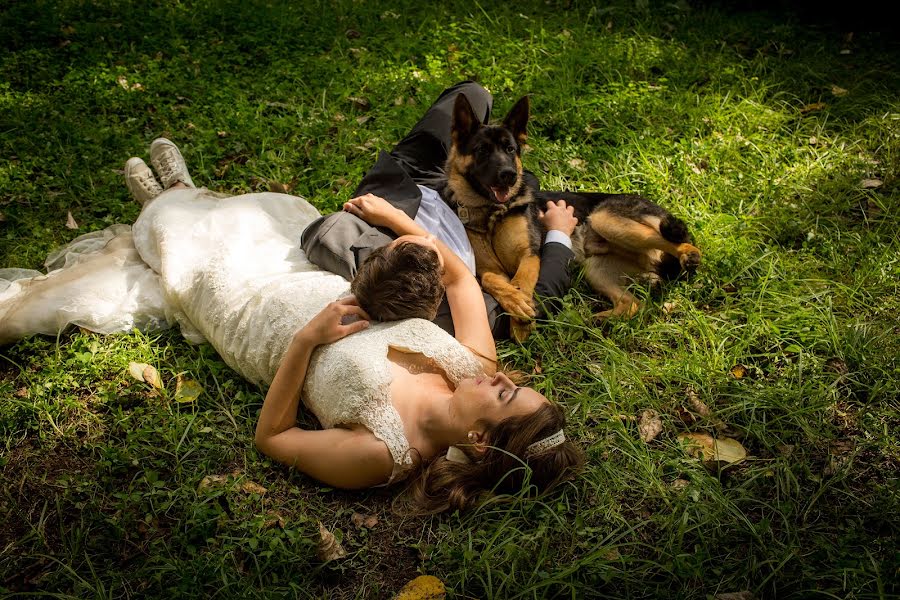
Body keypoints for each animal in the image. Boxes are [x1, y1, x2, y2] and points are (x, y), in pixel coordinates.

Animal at [442, 92, 704, 340]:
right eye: (482, 150)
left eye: (510, 150)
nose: (509, 175)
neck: (491, 213)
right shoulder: (489, 270)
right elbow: (493, 281)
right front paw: (516, 305)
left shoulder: (529, 255)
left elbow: (522, 282)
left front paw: (520, 320)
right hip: (596, 268)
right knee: (632, 304)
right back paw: (598, 320)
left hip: (606, 220)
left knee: (669, 239)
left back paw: (688, 253)